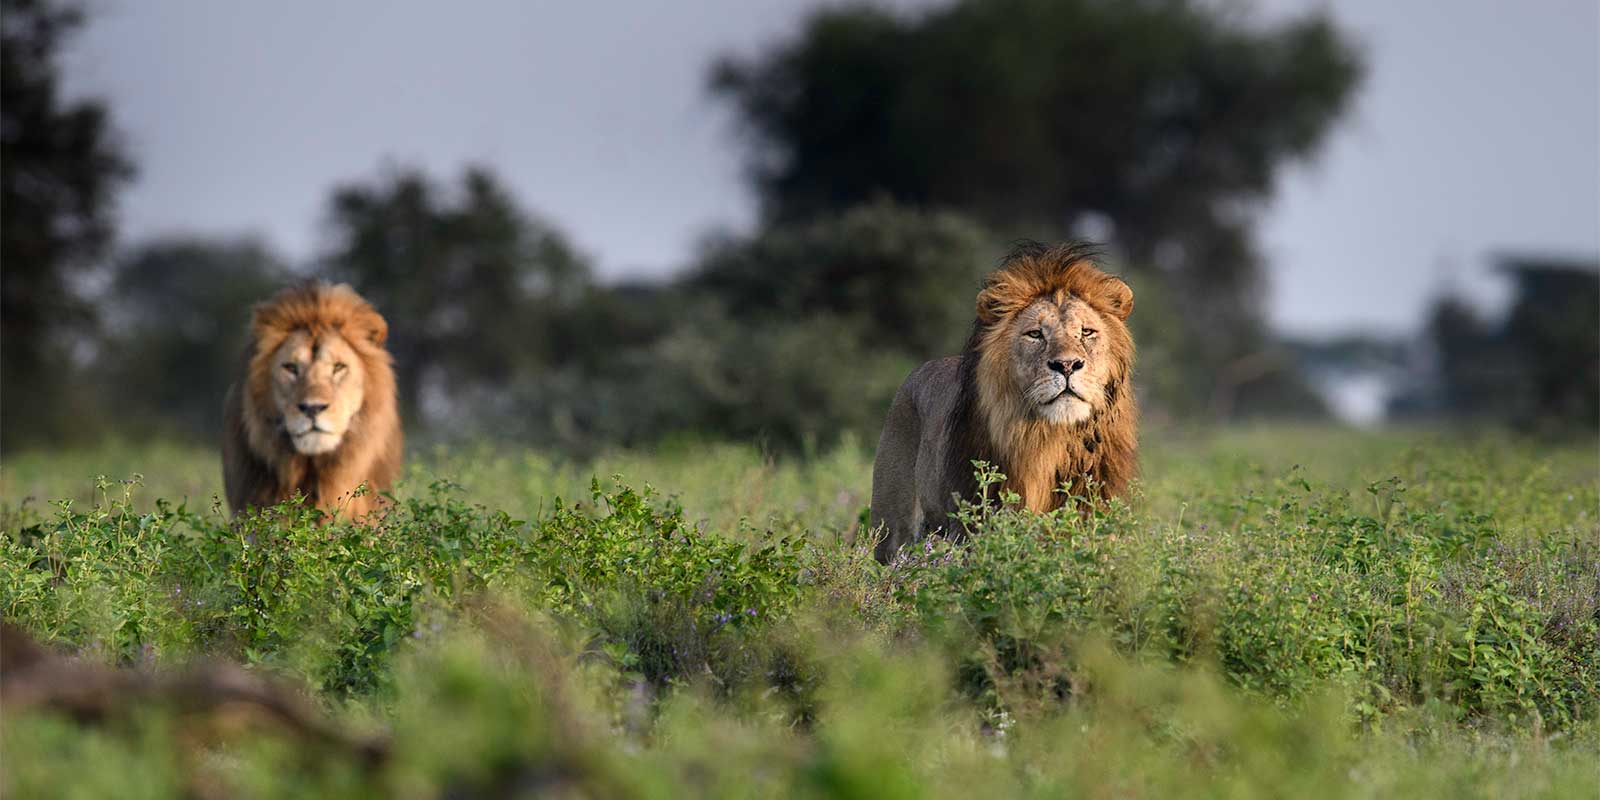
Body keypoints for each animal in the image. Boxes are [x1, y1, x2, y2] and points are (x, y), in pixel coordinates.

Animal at [870, 241, 1137, 563]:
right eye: (1035, 334)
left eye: (1086, 332)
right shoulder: (976, 515)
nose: (1067, 365)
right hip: (892, 526)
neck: (1048, 438)